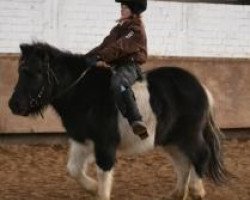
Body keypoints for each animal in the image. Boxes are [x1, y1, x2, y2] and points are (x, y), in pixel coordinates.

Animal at [8, 42, 228, 200]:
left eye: (33, 72)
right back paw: (177, 194)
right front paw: (92, 187)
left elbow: (104, 172)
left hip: (188, 134)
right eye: (20, 71)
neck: (83, 93)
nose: (13, 105)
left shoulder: (105, 144)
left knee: (201, 155)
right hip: (171, 140)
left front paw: (98, 190)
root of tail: (201, 87)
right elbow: (74, 169)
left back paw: (197, 191)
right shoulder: (82, 141)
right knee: (183, 163)